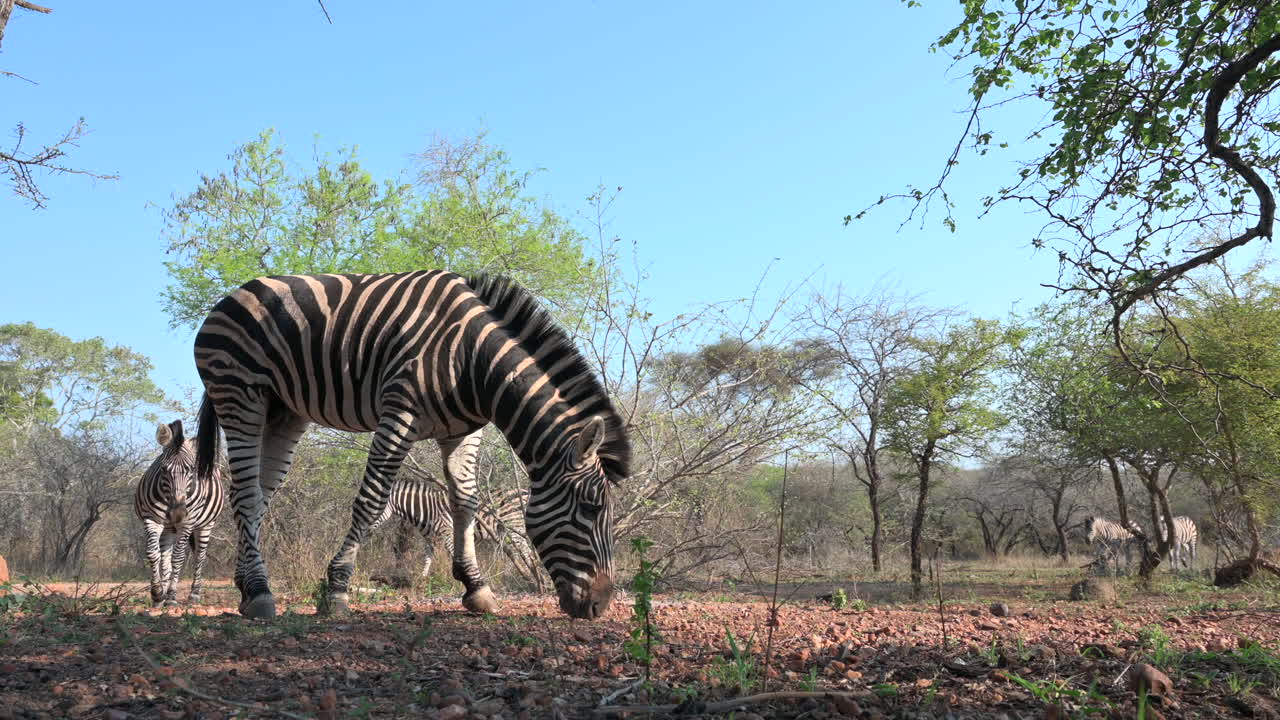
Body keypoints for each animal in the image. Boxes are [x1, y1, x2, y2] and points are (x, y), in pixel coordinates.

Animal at [135, 420, 227, 606]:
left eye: (191, 470)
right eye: (163, 469)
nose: (177, 513)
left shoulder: (187, 524)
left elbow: (178, 558)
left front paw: (171, 596)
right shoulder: (152, 519)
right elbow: (153, 553)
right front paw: (158, 593)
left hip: (206, 525)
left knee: (200, 556)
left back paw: (194, 594)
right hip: (169, 529)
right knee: (165, 558)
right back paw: (161, 596)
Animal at [194, 271, 629, 619]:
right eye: (591, 508)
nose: (601, 606)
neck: (473, 361)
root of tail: (234, 294)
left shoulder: (463, 431)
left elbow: (465, 503)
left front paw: (476, 588)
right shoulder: (399, 414)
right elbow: (371, 500)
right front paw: (336, 590)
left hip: (284, 412)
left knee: (255, 498)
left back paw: (248, 588)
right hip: (241, 396)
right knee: (246, 495)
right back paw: (261, 592)